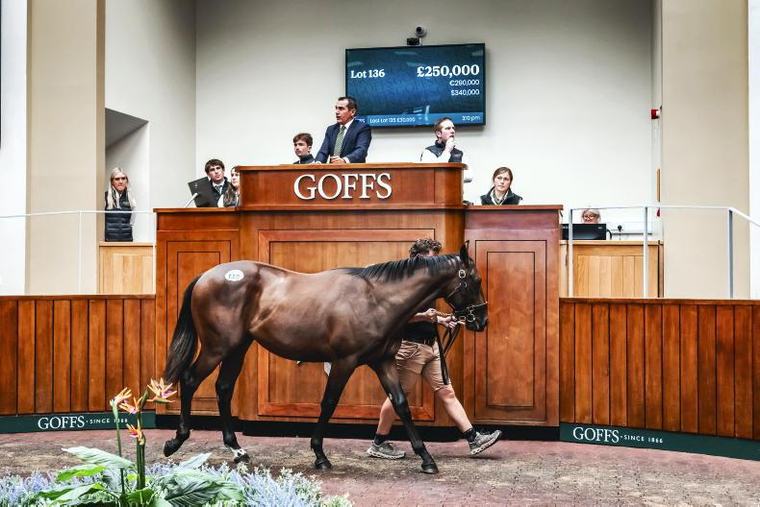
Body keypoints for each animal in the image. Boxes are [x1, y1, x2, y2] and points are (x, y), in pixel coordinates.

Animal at [161, 244, 487, 474]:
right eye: (475, 280)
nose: (481, 320)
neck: (375, 299)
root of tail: (206, 276)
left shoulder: (383, 361)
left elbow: (400, 404)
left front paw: (426, 458)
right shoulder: (344, 362)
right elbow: (329, 403)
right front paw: (319, 455)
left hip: (237, 349)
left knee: (224, 389)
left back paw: (237, 450)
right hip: (217, 347)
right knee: (190, 379)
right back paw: (176, 440)